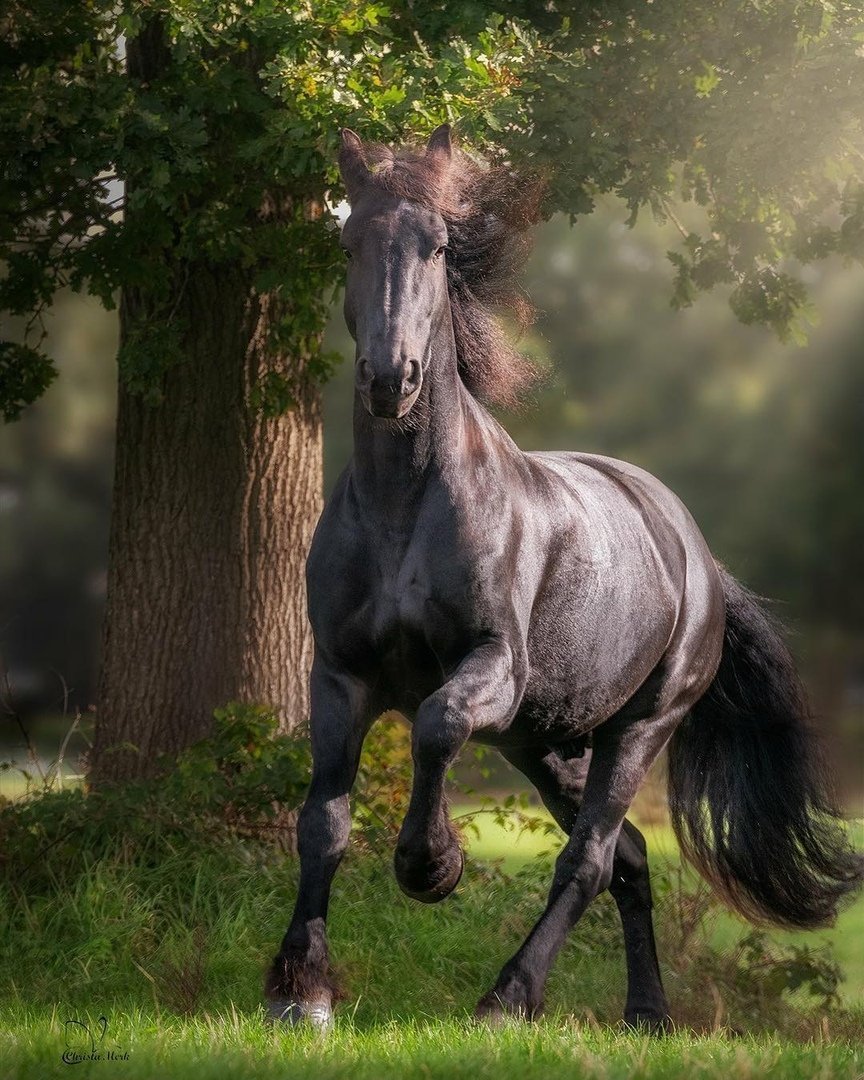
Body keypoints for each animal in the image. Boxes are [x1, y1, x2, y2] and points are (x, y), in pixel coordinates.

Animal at [265, 124, 863, 1030]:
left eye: (437, 246)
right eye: (348, 242)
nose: (389, 379)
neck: (405, 508)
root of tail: (699, 556)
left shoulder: (491, 668)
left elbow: (436, 724)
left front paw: (431, 866)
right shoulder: (339, 676)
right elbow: (321, 825)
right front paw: (300, 991)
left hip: (638, 728)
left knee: (588, 857)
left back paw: (509, 997)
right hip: (545, 743)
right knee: (630, 858)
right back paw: (646, 1013)